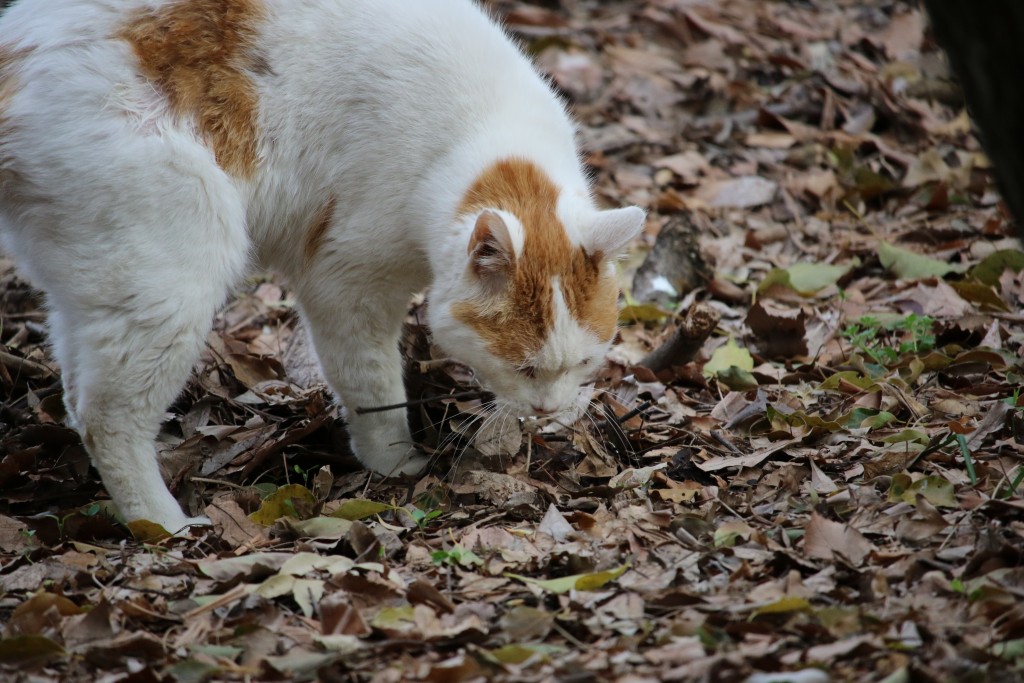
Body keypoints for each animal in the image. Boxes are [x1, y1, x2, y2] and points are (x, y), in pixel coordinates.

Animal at [0, 0, 638, 532]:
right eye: (524, 367)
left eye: (585, 362)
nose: (548, 410)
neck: (481, 131)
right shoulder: (345, 283)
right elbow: (373, 382)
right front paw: (395, 462)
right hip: (172, 273)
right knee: (107, 417)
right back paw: (162, 525)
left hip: (100, 278)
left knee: (77, 390)